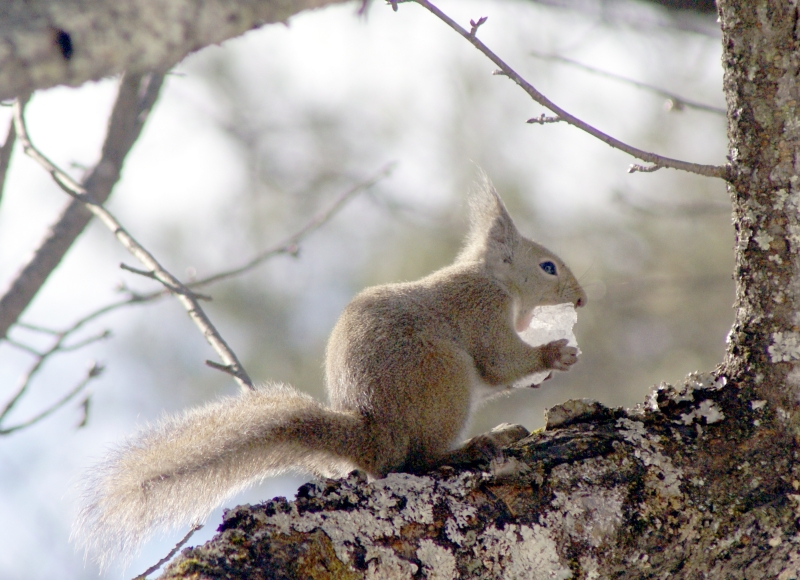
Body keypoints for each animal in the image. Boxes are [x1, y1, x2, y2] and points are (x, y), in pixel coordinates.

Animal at [73, 172, 588, 568]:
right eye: (547, 266)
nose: (581, 299)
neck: (496, 281)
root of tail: (375, 436)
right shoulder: (481, 310)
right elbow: (499, 361)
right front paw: (553, 355)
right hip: (444, 379)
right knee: (418, 459)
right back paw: (476, 444)